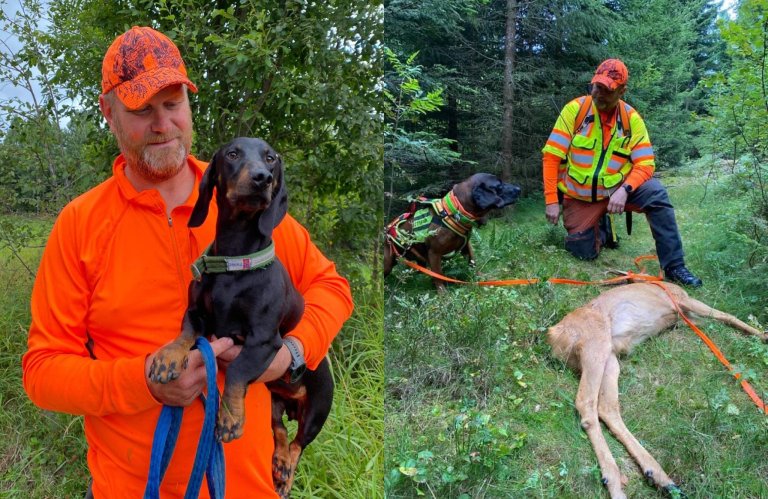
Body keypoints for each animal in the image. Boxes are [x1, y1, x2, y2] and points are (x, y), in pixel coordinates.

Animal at [148, 137, 332, 499]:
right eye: (232, 154)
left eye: (271, 158)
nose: (262, 178)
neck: (234, 263)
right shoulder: (198, 315)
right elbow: (185, 333)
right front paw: (168, 357)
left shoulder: (263, 341)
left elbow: (236, 369)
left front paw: (230, 417)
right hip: (275, 401)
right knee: (279, 431)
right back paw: (278, 463)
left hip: (318, 410)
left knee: (298, 444)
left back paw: (285, 474)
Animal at [384, 174, 520, 292]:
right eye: (499, 185)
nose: (519, 188)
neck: (453, 212)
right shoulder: (434, 254)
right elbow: (438, 276)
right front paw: (443, 295)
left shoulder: (466, 247)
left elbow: (473, 263)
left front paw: (481, 277)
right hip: (387, 264)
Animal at [544, 282, 768, 499]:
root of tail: (555, 335)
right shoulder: (683, 300)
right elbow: (727, 315)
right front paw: (762, 335)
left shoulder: (685, 317)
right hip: (595, 345)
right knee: (586, 401)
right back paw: (616, 482)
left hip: (610, 359)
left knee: (607, 408)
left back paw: (658, 477)